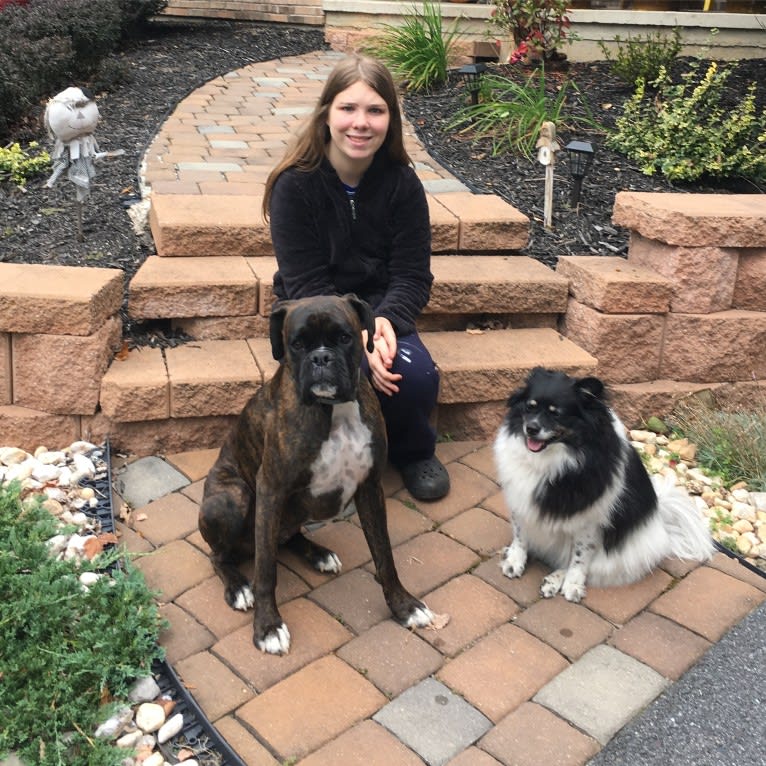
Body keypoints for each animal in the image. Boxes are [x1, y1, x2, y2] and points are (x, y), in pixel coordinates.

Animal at [201, 292, 436, 656]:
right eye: (296, 344)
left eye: (344, 337)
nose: (321, 358)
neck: (334, 412)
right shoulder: (270, 489)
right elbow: (266, 570)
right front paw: (268, 627)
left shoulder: (370, 487)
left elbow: (384, 554)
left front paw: (404, 606)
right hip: (231, 497)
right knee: (221, 555)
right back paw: (238, 586)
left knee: (285, 537)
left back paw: (318, 554)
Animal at [496, 368, 716, 604]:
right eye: (530, 406)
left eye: (557, 414)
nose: (531, 428)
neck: (551, 458)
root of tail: (661, 522)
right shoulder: (520, 502)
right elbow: (520, 536)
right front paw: (514, 560)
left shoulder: (589, 522)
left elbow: (580, 558)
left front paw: (573, 584)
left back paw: (555, 580)